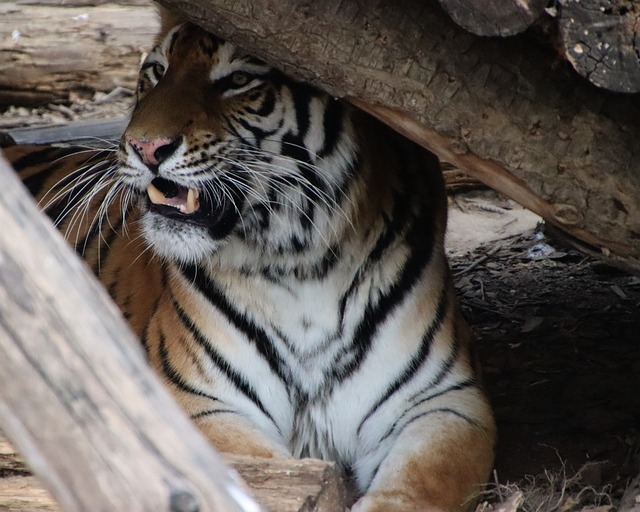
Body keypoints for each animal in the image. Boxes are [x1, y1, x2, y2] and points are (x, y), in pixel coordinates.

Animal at [2, 13, 496, 512]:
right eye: (158, 71)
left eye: (239, 80)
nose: (144, 147)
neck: (305, 263)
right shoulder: (194, 400)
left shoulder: (442, 401)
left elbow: (418, 484)